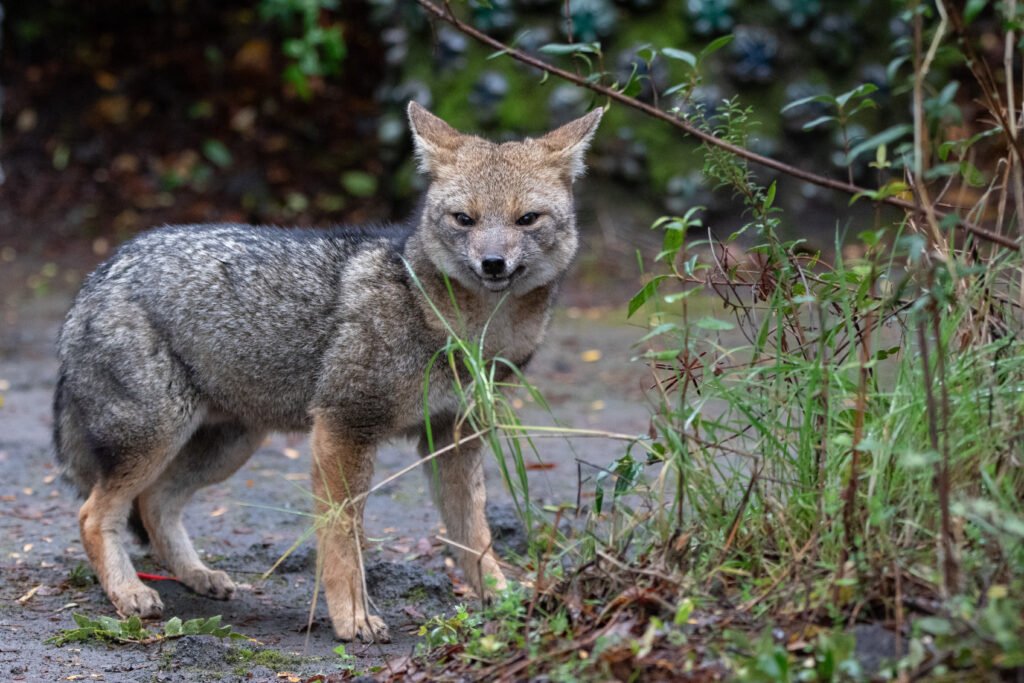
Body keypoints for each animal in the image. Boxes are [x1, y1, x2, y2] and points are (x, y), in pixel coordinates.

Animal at [52, 102, 602, 642]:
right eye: (464, 219)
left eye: (526, 219)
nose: (492, 263)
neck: (470, 331)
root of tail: (102, 272)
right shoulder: (344, 427)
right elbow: (343, 536)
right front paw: (353, 617)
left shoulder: (455, 438)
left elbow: (475, 535)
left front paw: (503, 599)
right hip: (159, 439)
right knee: (93, 513)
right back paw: (128, 593)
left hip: (227, 447)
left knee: (154, 504)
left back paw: (197, 576)